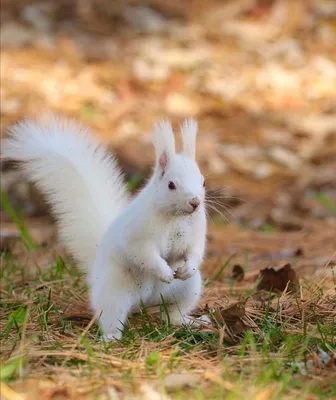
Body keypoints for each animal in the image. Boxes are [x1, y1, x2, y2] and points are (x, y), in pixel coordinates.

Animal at [1, 114, 207, 340]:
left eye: (203, 181)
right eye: (171, 185)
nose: (195, 202)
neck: (176, 218)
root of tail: (145, 300)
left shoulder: (196, 234)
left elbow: (195, 251)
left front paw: (187, 268)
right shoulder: (137, 234)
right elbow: (144, 254)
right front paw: (164, 272)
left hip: (188, 289)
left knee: (172, 313)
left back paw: (191, 321)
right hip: (114, 293)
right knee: (111, 317)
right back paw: (111, 338)